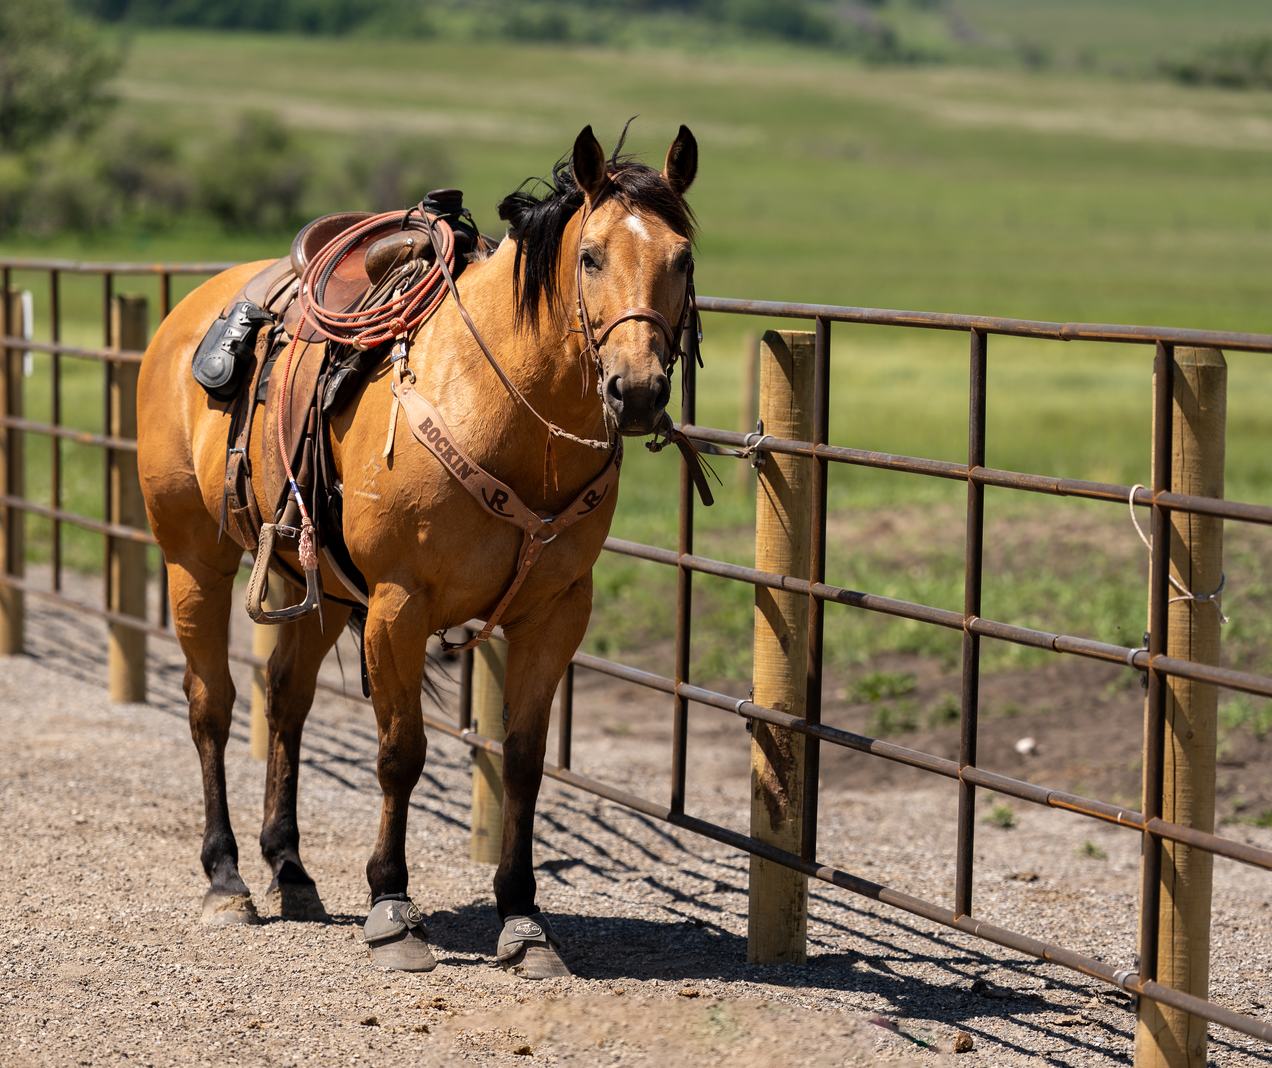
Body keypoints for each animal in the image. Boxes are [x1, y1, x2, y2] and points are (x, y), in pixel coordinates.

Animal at [136, 124, 699, 977]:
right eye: (592, 256)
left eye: (683, 258)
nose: (635, 392)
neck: (501, 410)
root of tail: (187, 314)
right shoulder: (398, 607)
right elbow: (400, 751)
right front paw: (392, 908)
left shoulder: (554, 614)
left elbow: (524, 760)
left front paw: (523, 918)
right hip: (191, 560)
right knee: (212, 704)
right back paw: (227, 879)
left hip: (316, 583)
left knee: (286, 698)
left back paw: (290, 870)